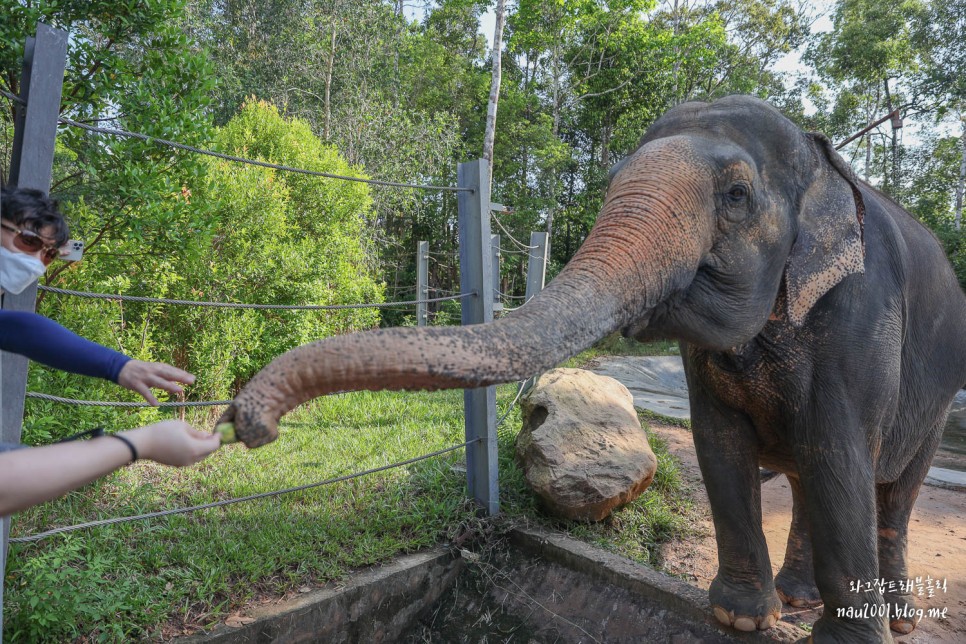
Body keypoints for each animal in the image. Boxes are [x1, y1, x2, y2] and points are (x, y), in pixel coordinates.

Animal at [219, 97, 966, 644]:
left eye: (735, 195)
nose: (243, 422)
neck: (819, 162)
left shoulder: (861, 321)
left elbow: (839, 454)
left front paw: (835, 639)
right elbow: (721, 445)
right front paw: (740, 617)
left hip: (938, 396)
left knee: (892, 492)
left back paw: (897, 619)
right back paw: (795, 597)